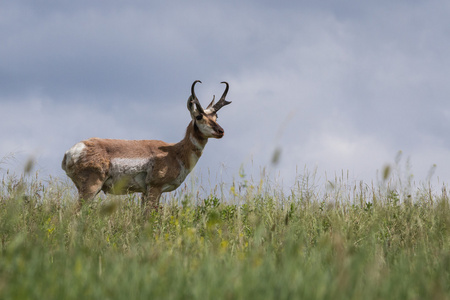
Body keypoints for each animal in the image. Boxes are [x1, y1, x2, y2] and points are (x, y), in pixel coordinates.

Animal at [62, 81, 232, 210]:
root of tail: (72, 151)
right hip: (91, 187)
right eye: (199, 116)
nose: (221, 131)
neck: (175, 152)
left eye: (216, 116)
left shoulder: (145, 192)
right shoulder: (154, 188)